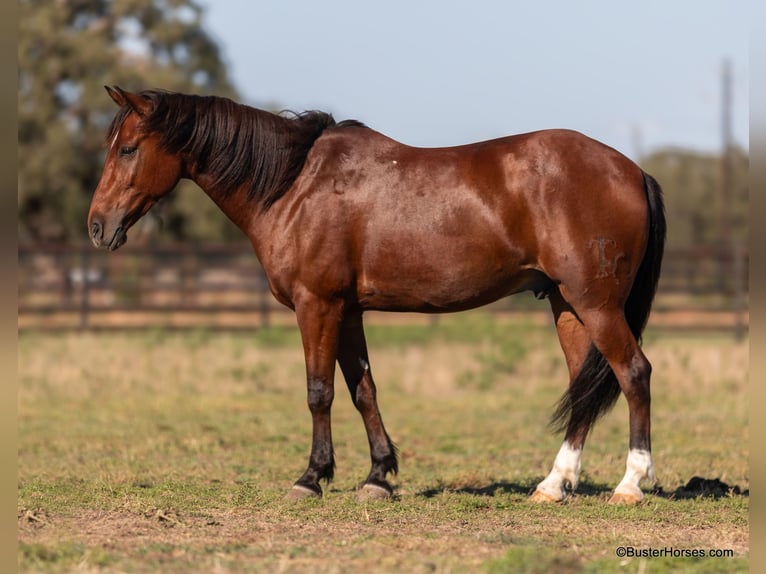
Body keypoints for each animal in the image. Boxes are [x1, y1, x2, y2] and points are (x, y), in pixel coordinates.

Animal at [88, 88, 664, 506]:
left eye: (128, 149)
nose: (97, 227)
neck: (295, 185)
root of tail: (632, 170)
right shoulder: (346, 311)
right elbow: (363, 390)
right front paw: (378, 476)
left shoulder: (317, 304)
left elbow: (319, 391)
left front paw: (311, 477)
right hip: (567, 306)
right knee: (583, 387)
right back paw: (552, 485)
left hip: (596, 305)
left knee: (634, 373)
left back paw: (629, 485)